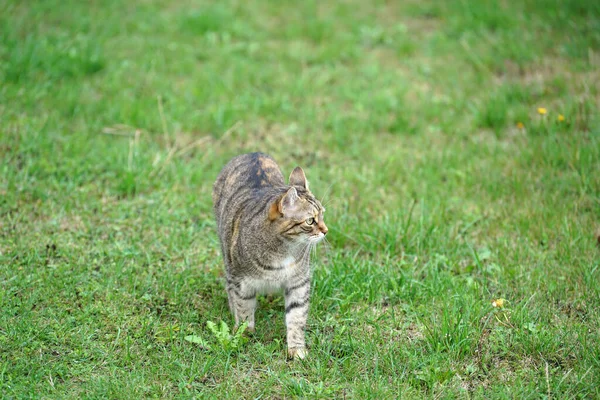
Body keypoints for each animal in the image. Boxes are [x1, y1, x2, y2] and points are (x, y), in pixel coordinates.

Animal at [213, 153, 328, 360]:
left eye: (322, 215)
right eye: (310, 221)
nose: (326, 230)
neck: (285, 250)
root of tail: (253, 153)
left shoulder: (298, 283)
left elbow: (297, 316)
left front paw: (297, 349)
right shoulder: (242, 282)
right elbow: (244, 309)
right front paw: (244, 333)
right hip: (227, 255)